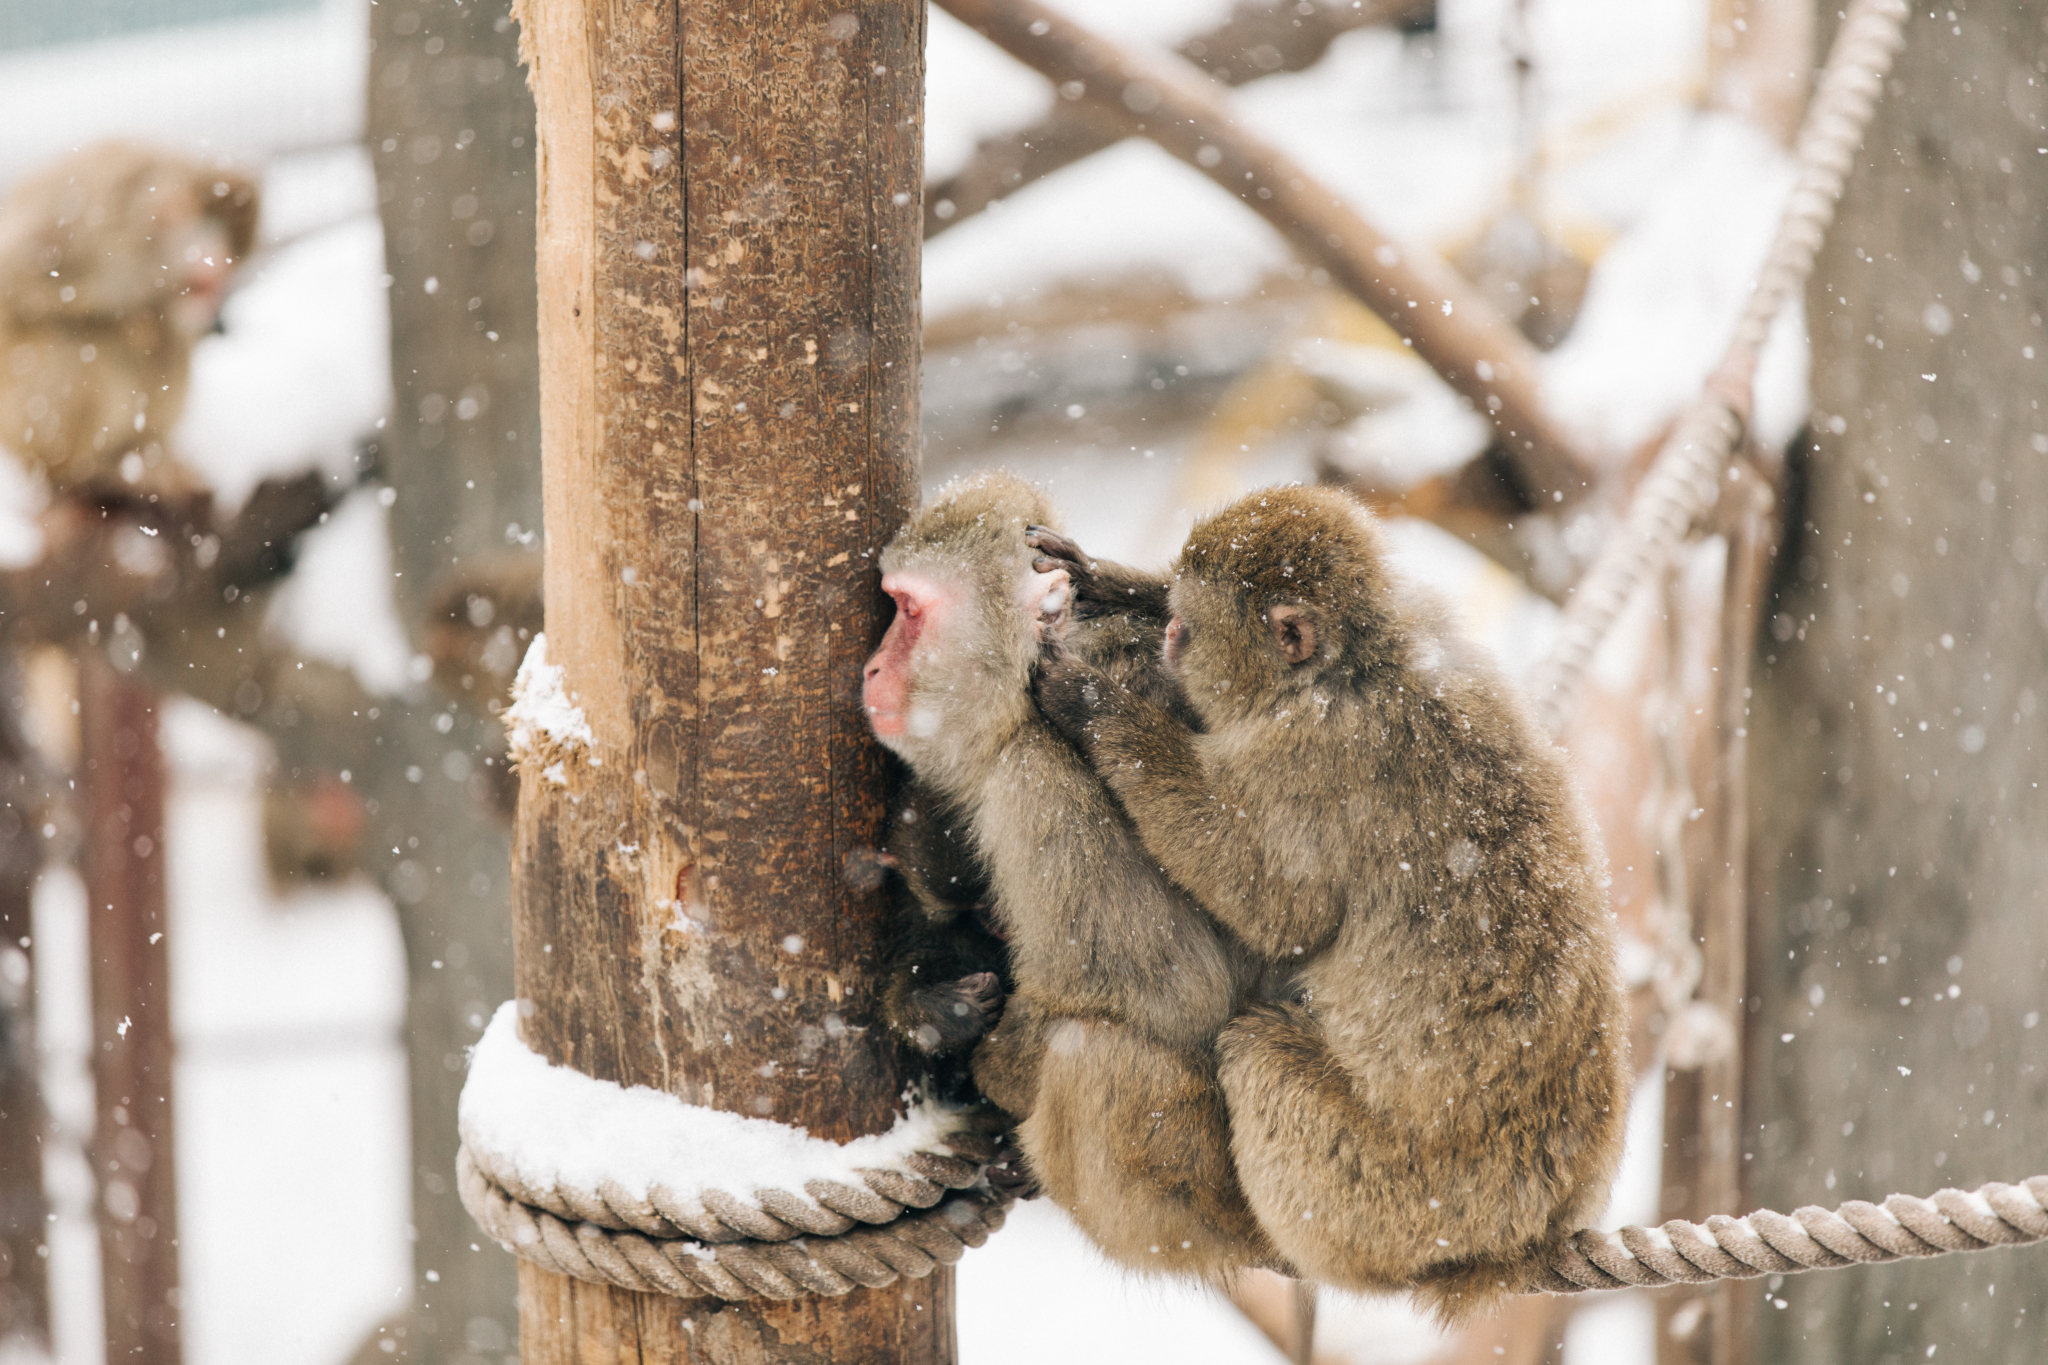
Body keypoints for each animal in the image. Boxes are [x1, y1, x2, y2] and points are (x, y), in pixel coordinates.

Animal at [0, 141, 260, 501]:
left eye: (229, 276)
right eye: (208, 283)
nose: (213, 307)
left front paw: (151, 320)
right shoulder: (77, 225)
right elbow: (18, 284)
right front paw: (135, 323)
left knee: (168, 353)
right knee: (73, 352)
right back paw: (85, 471)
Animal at [1040, 485, 1630, 1317]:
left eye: (1190, 631)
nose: (1170, 640)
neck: (1353, 665)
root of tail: (1529, 1235)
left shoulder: (1317, 761)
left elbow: (1270, 898)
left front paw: (1097, 706)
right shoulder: (1426, 622)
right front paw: (1116, 582)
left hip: (1391, 1198)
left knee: (1256, 1055)